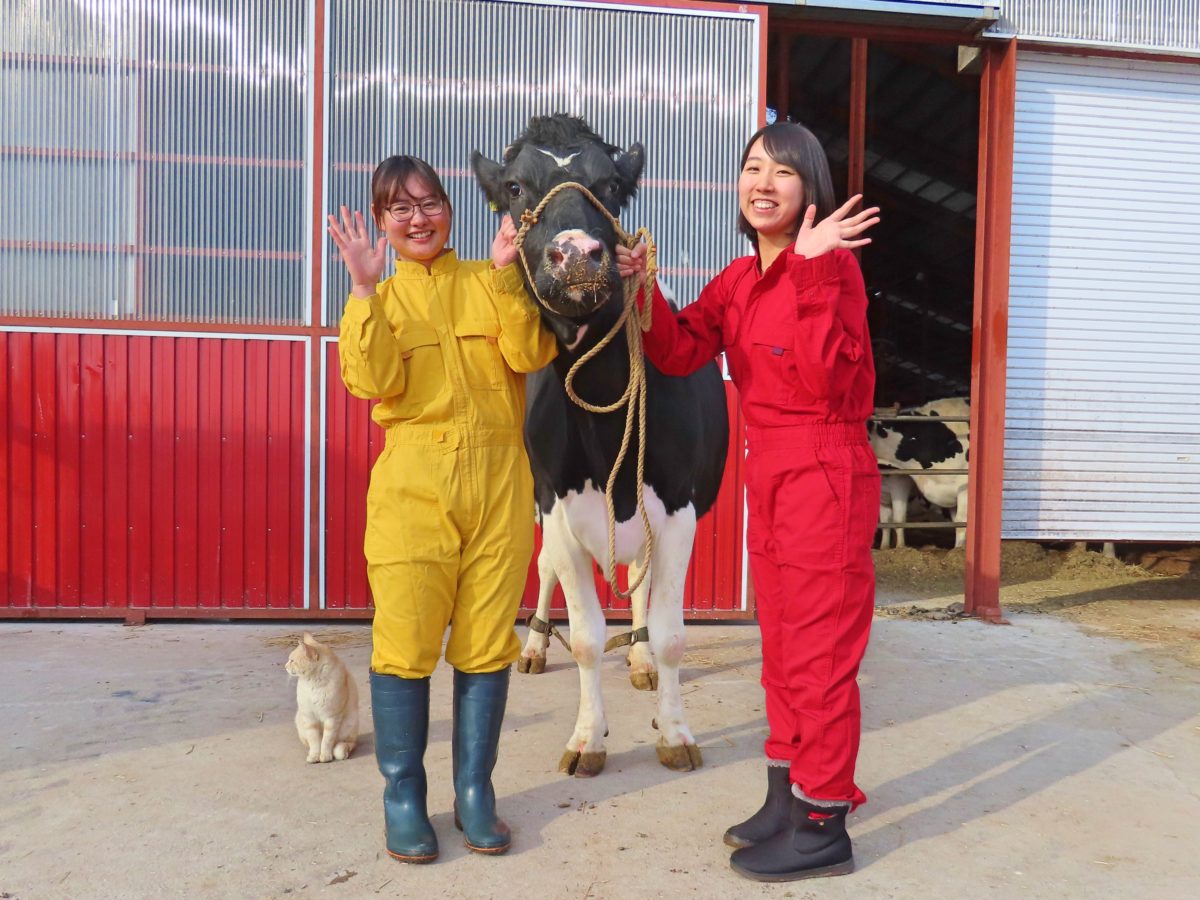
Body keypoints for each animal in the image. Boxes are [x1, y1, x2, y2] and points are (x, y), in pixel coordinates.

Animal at [284, 628, 357, 763]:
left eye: (292, 661)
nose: (285, 666)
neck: (313, 682)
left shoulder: (332, 718)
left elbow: (327, 741)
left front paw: (325, 756)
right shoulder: (309, 717)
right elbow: (314, 740)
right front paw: (314, 756)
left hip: (350, 725)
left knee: (346, 745)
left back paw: (343, 751)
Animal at [472, 114, 724, 777]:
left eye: (610, 184)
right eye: (514, 187)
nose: (577, 255)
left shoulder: (679, 507)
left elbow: (671, 632)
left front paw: (675, 731)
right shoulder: (558, 506)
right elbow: (584, 636)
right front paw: (588, 739)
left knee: (637, 580)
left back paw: (637, 657)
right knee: (543, 571)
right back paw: (536, 644)